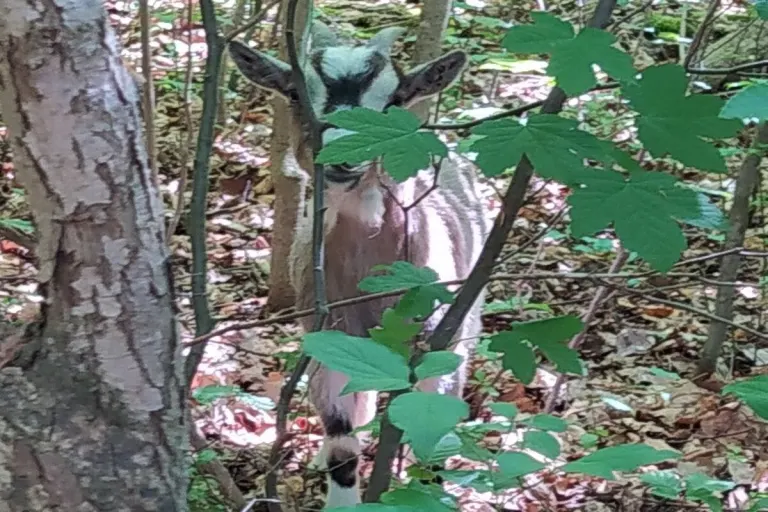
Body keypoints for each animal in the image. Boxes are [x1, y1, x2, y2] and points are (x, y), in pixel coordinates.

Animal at [229, 22, 490, 507]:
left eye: (395, 100)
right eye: (294, 93)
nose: (343, 154)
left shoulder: (441, 344)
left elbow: (431, 442)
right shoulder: (329, 343)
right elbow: (342, 446)